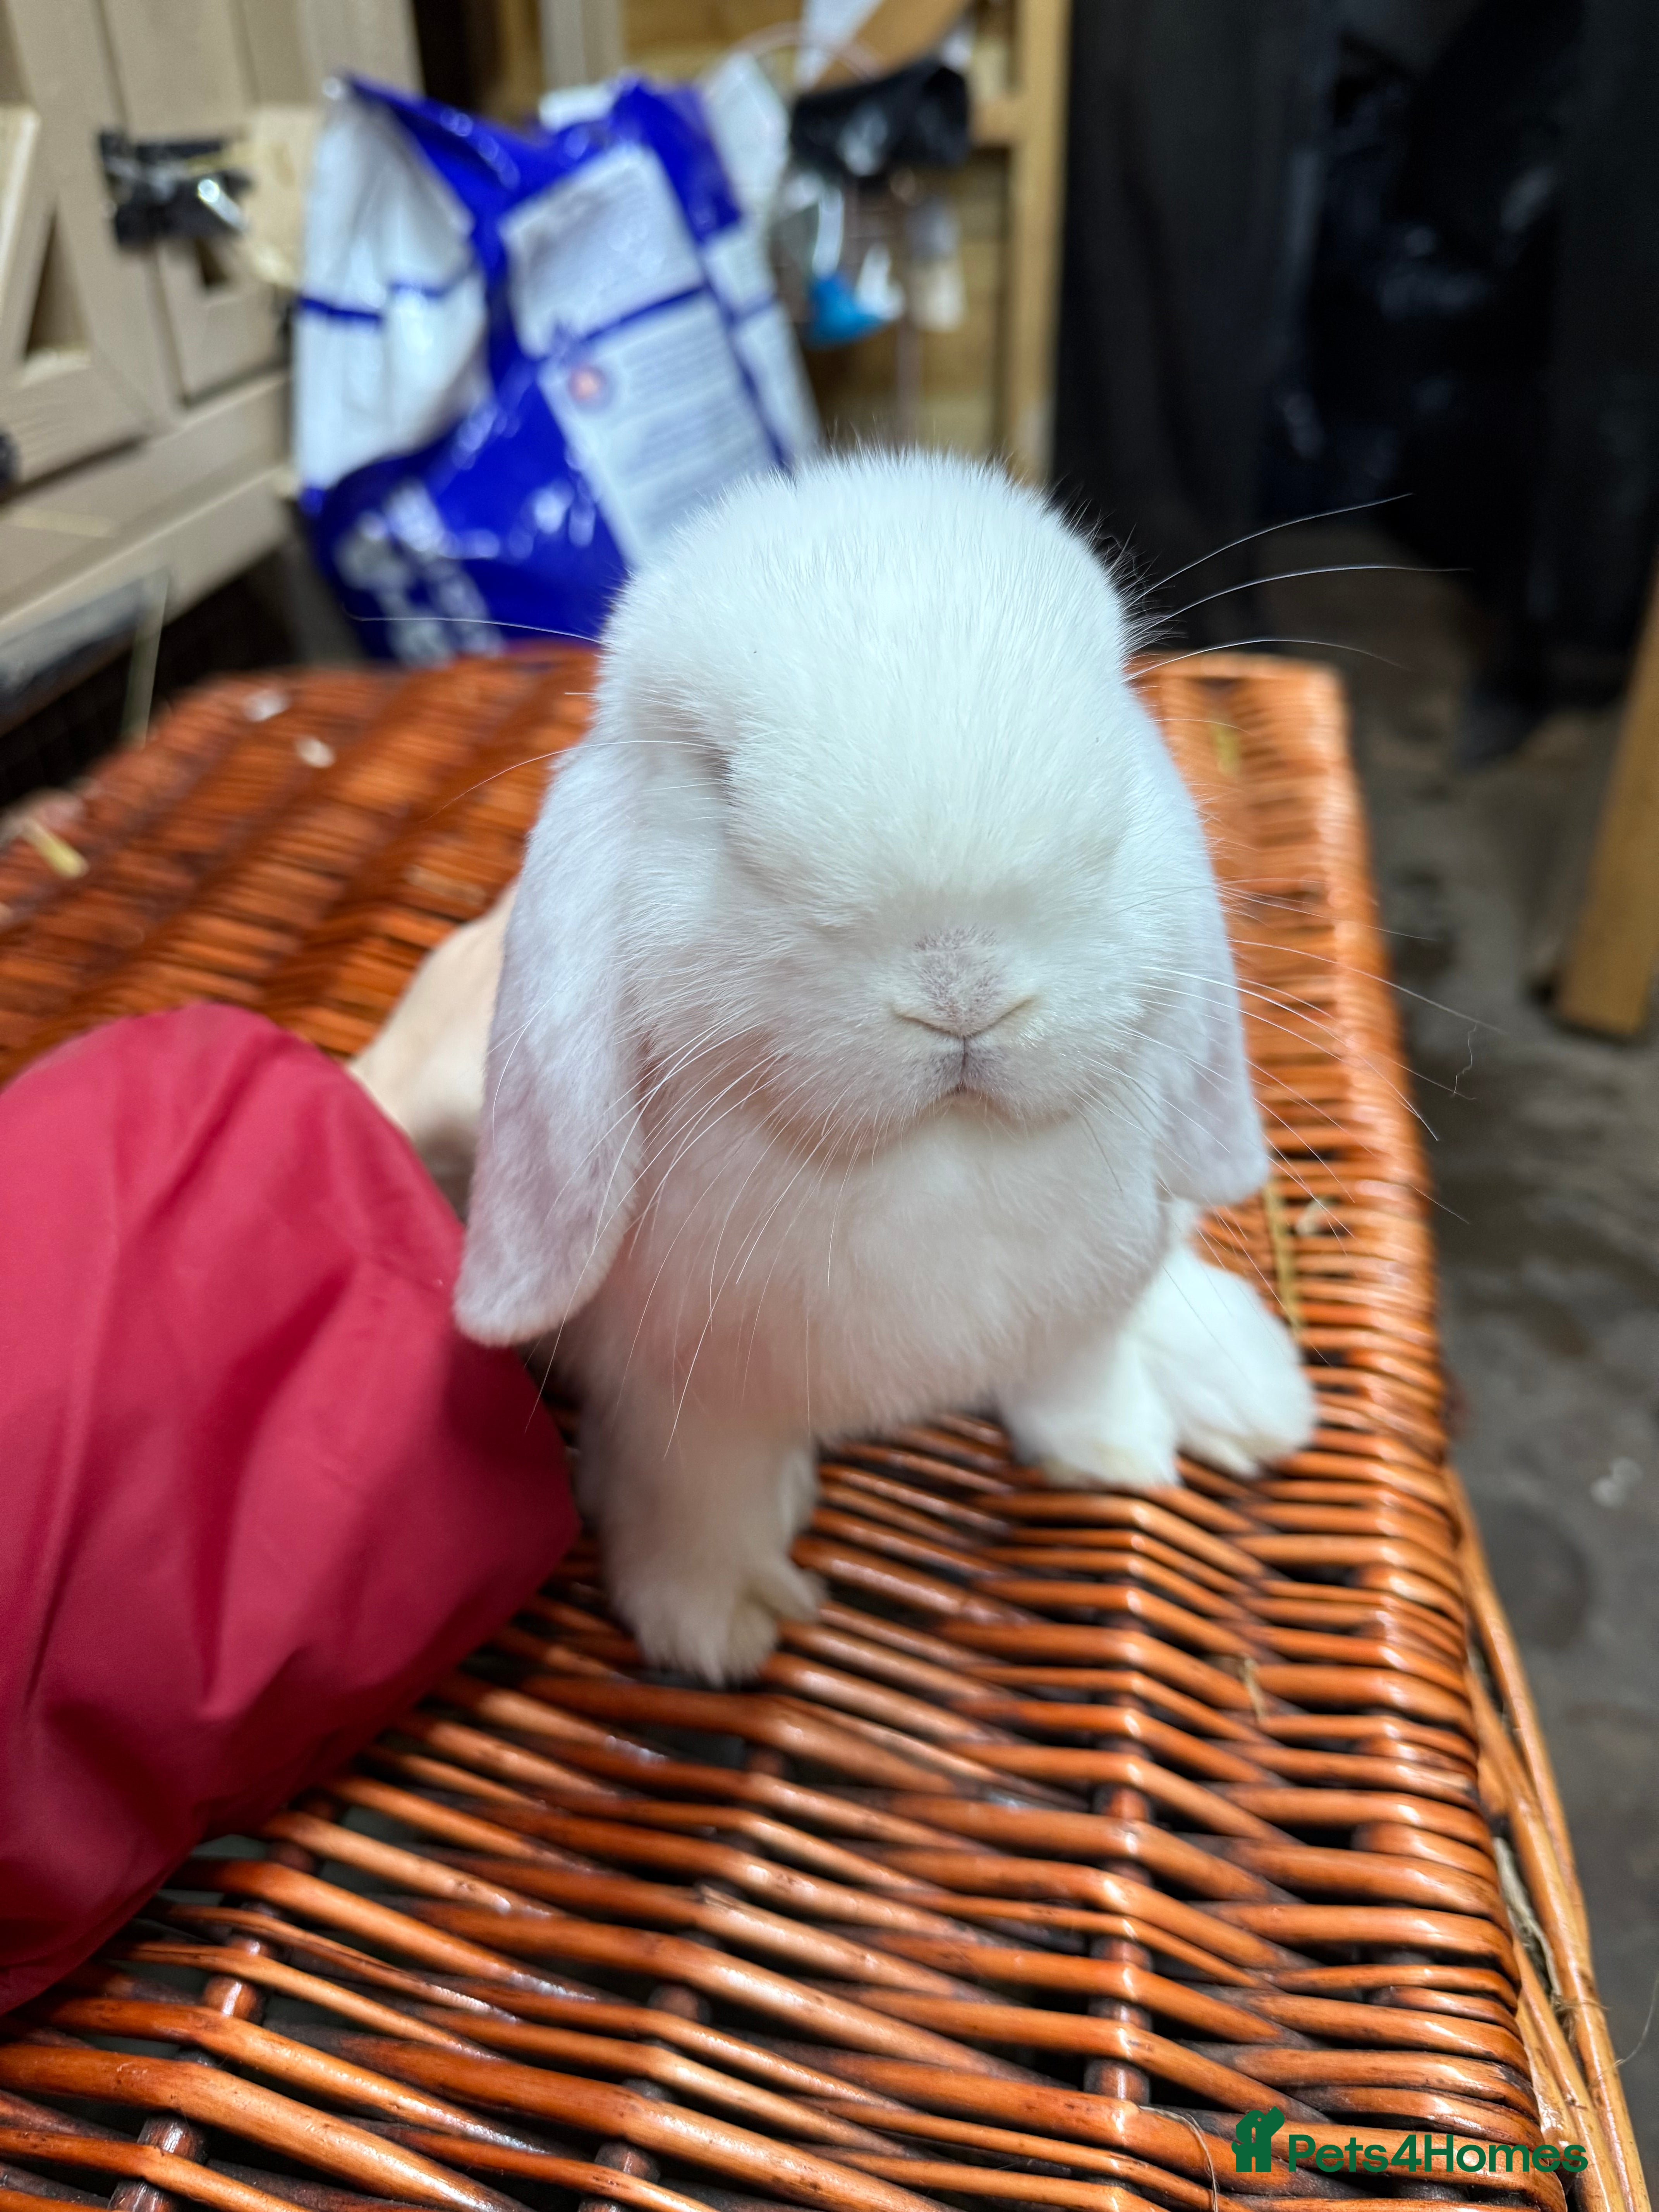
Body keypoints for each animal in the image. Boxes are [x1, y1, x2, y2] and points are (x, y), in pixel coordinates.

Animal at [456, 451, 1315, 1682]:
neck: (935, 1156)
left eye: (1111, 759)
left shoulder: (1076, 1323)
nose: (962, 992)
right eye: (720, 783)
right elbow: (699, 1494)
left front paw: (1112, 1453)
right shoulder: (684, 1400)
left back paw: (1252, 1395)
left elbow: (1076, 1383)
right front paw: (717, 1624)